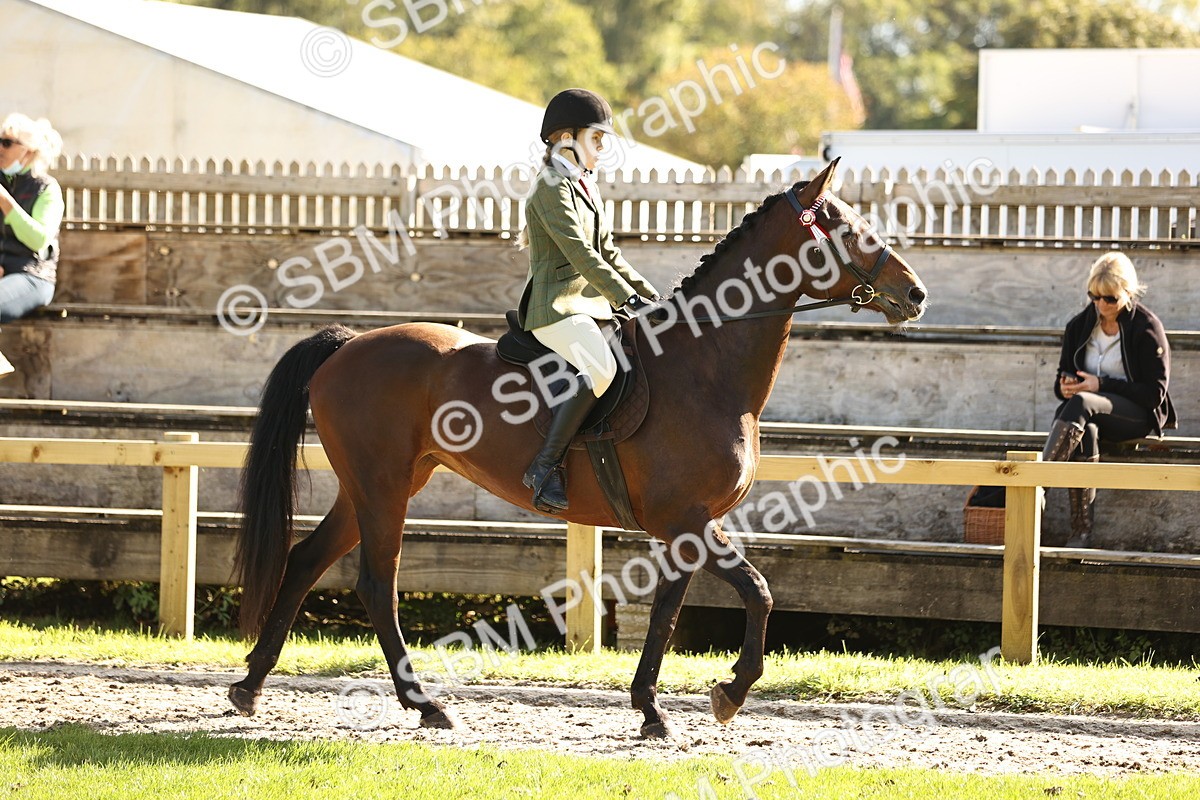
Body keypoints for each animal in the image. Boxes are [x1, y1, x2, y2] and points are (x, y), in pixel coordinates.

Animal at [227, 158, 928, 738]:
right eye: (844, 227)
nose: (915, 293)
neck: (703, 368)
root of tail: (347, 345)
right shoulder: (687, 520)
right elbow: (758, 591)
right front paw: (729, 693)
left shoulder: (686, 527)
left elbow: (667, 614)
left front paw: (650, 710)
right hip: (383, 488)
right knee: (377, 583)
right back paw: (425, 704)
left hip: (377, 484)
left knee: (306, 559)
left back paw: (250, 687)